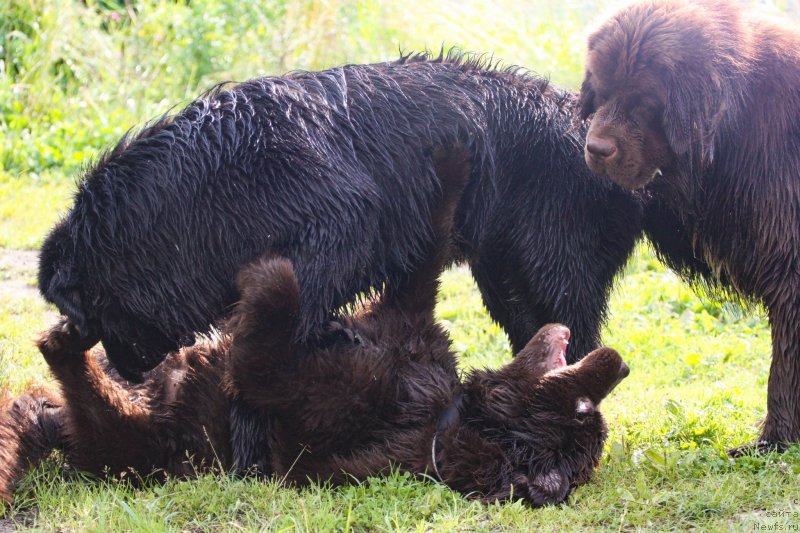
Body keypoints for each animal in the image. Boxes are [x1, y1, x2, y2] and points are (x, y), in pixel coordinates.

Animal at [0, 153, 628, 502]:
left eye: (583, 417)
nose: (618, 363)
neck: (445, 410)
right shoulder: (407, 328)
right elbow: (425, 255)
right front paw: (452, 164)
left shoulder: (305, 390)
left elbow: (274, 317)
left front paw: (268, 272)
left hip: (140, 441)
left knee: (88, 393)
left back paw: (68, 341)